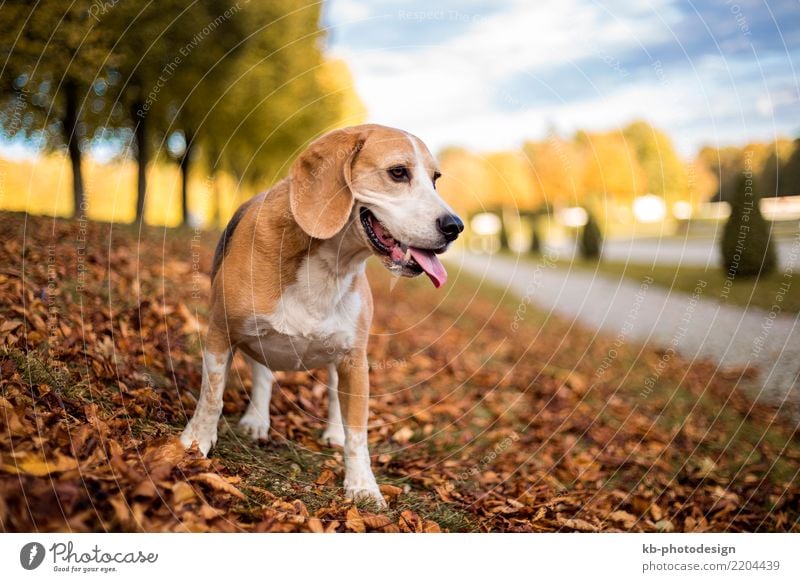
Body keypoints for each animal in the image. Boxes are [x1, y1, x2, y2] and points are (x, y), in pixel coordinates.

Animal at [180, 124, 462, 506]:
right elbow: (212, 395)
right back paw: (257, 419)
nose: (455, 227)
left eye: (435, 179)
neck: (329, 265)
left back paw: (332, 432)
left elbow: (357, 433)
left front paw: (362, 485)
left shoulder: (354, 360)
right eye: (398, 172)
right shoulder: (220, 334)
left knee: (331, 396)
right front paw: (196, 441)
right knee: (263, 375)